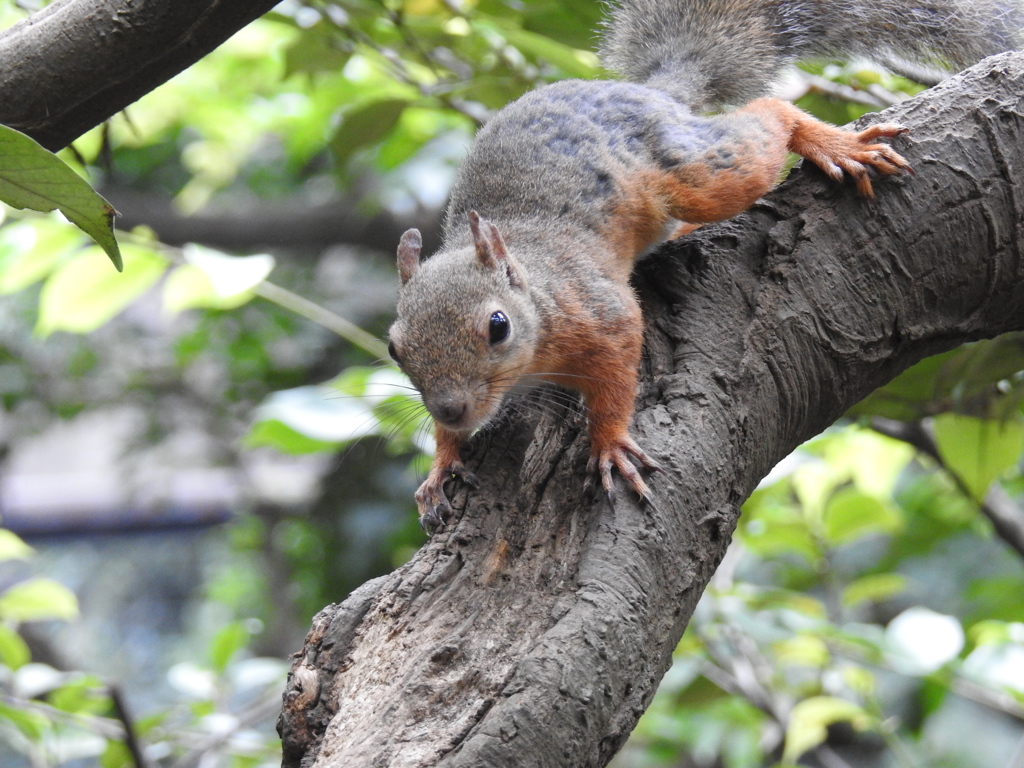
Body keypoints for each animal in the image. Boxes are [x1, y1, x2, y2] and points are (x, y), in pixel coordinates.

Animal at [385, 0, 1024, 528]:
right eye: (394, 348)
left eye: (498, 326)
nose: (451, 405)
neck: (537, 295)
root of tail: (650, 90)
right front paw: (441, 463)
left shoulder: (599, 312)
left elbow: (617, 371)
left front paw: (608, 443)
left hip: (696, 173)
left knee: (764, 120)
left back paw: (829, 143)